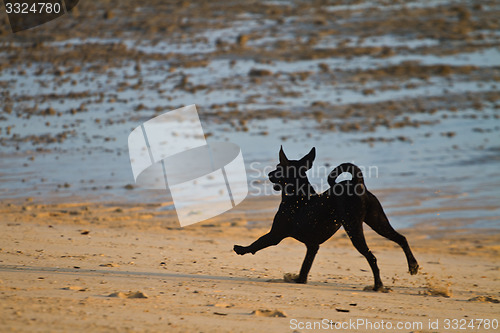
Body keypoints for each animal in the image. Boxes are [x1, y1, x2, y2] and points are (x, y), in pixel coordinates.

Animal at [234, 147, 418, 290]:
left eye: (278, 168)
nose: (269, 173)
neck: (299, 198)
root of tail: (357, 183)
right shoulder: (312, 246)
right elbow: (305, 266)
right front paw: (300, 280)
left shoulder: (275, 235)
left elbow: (257, 243)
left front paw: (242, 249)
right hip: (378, 221)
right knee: (401, 238)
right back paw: (413, 266)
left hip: (354, 227)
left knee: (371, 256)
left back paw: (378, 285)